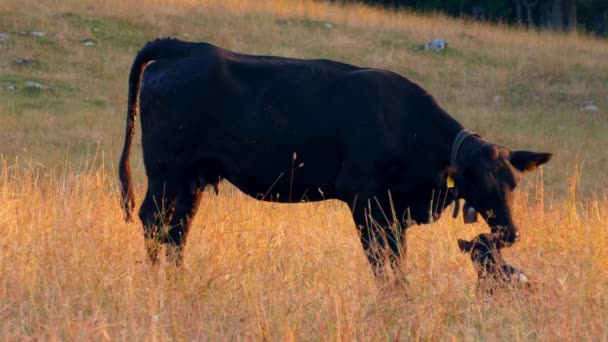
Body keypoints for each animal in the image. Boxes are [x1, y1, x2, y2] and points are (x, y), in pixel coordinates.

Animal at [119, 38, 552, 278]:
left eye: (513, 182)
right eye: (475, 181)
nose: (509, 232)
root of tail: (183, 48)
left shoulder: (395, 208)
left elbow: (397, 258)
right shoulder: (363, 197)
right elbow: (380, 258)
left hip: (193, 177)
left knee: (177, 229)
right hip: (165, 170)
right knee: (153, 221)